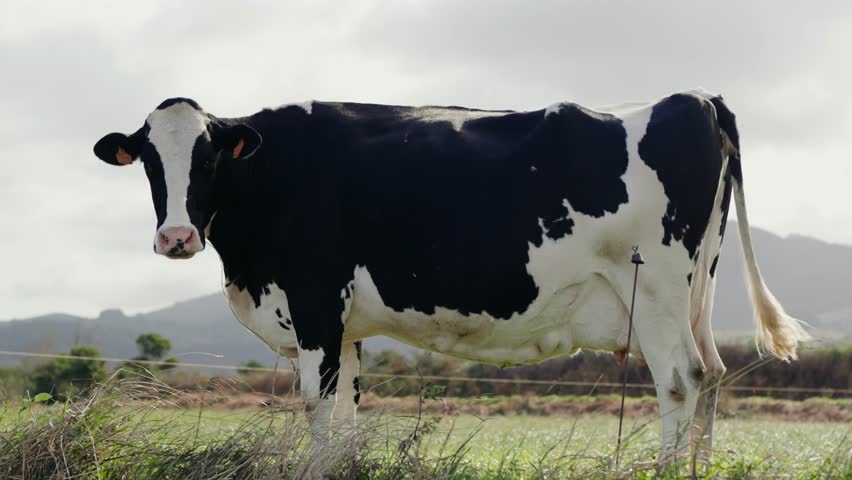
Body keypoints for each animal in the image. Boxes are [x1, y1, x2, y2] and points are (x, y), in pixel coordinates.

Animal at [94, 89, 809, 461]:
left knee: (681, 380)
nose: (176, 237)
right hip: (696, 290)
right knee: (713, 374)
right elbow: (347, 418)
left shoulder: (315, 303)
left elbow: (318, 413)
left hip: (656, 292)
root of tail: (694, 98)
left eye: (210, 157)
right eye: (149, 160)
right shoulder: (345, 326)